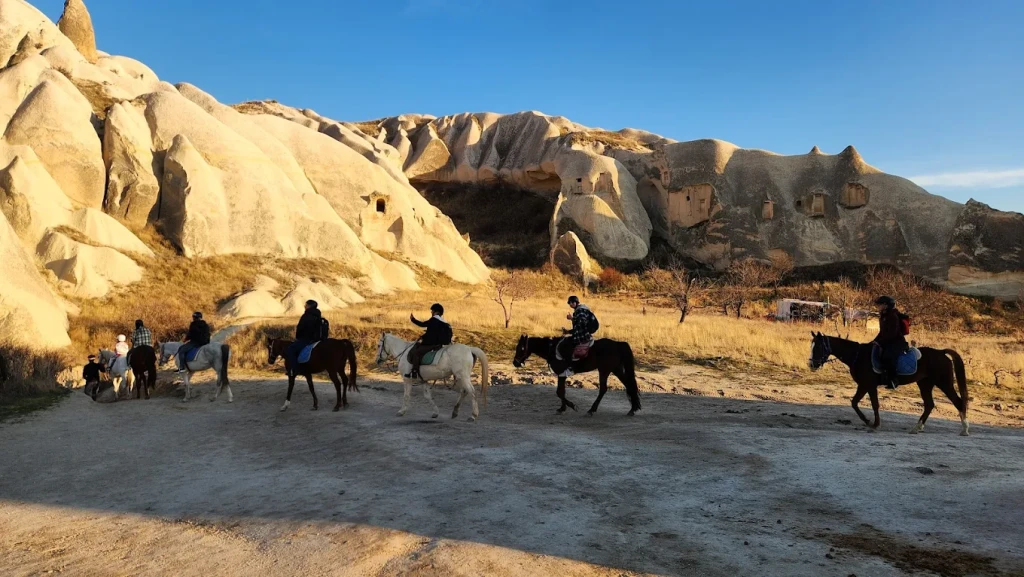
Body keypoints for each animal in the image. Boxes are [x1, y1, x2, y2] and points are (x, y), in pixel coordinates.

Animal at [512, 335, 642, 416]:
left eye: (521, 348)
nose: (515, 362)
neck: (552, 350)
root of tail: (617, 344)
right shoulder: (561, 375)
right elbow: (562, 391)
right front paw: (562, 408)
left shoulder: (562, 374)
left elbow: (559, 392)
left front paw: (572, 406)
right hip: (616, 369)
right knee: (629, 385)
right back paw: (633, 409)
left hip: (604, 370)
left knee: (603, 389)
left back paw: (591, 410)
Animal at [809, 332, 969, 436]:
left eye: (818, 347)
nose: (811, 365)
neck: (858, 356)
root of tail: (942, 353)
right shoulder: (863, 385)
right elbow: (854, 402)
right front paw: (868, 421)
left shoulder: (869, 385)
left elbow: (874, 404)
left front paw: (874, 424)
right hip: (925, 384)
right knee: (929, 405)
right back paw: (916, 428)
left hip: (944, 383)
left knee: (958, 401)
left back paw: (964, 430)